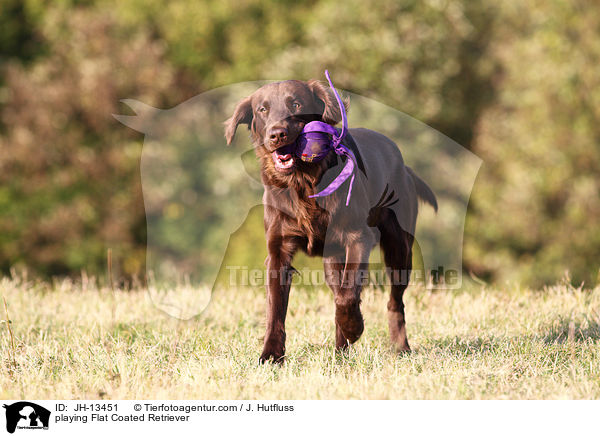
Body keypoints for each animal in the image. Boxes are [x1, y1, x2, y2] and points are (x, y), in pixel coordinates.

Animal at [225, 79, 436, 364]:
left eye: (296, 104)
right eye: (262, 109)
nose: (277, 134)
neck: (303, 182)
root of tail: (404, 166)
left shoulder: (358, 238)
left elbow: (348, 295)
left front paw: (354, 326)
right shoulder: (278, 250)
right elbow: (275, 310)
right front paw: (270, 355)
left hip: (398, 248)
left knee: (394, 301)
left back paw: (399, 347)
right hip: (333, 258)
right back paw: (340, 352)